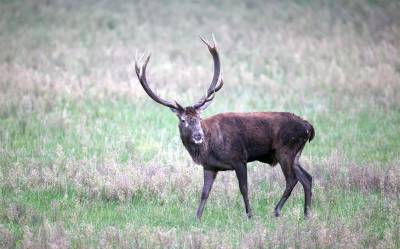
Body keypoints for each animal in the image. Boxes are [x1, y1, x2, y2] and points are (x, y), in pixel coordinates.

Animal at [134, 35, 316, 220]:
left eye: (199, 118)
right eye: (183, 120)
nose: (198, 136)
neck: (209, 147)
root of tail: (309, 127)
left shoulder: (239, 158)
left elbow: (244, 189)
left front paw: (250, 215)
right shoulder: (210, 166)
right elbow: (204, 193)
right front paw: (197, 217)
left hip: (285, 149)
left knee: (292, 179)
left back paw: (277, 210)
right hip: (295, 153)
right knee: (307, 178)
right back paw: (306, 214)